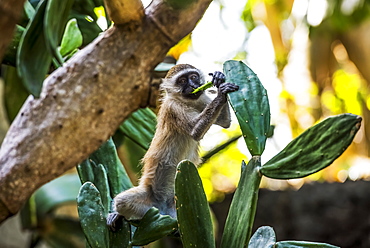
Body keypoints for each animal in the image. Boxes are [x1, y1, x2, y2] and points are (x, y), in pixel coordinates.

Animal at [107, 64, 240, 231]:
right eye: (182, 80)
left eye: (194, 77)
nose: (193, 85)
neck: (186, 102)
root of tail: (162, 207)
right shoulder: (173, 108)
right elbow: (195, 132)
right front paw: (221, 93)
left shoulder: (201, 98)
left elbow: (224, 121)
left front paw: (218, 78)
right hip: (149, 198)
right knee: (122, 201)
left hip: (177, 204)